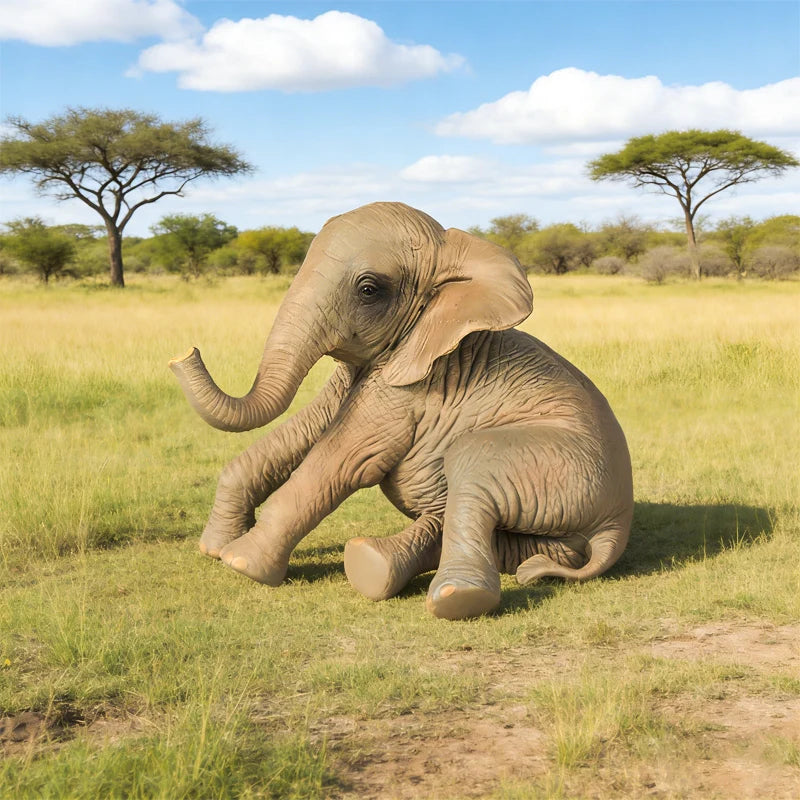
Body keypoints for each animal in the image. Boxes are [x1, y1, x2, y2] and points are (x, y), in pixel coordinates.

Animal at [170, 202, 633, 620]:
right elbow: (302, 431)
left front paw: (240, 563)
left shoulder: (412, 388)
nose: (183, 353)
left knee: (472, 461)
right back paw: (376, 564)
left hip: (561, 465)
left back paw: (447, 596)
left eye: (369, 289)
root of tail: (617, 522)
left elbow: (342, 459)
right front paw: (213, 549)